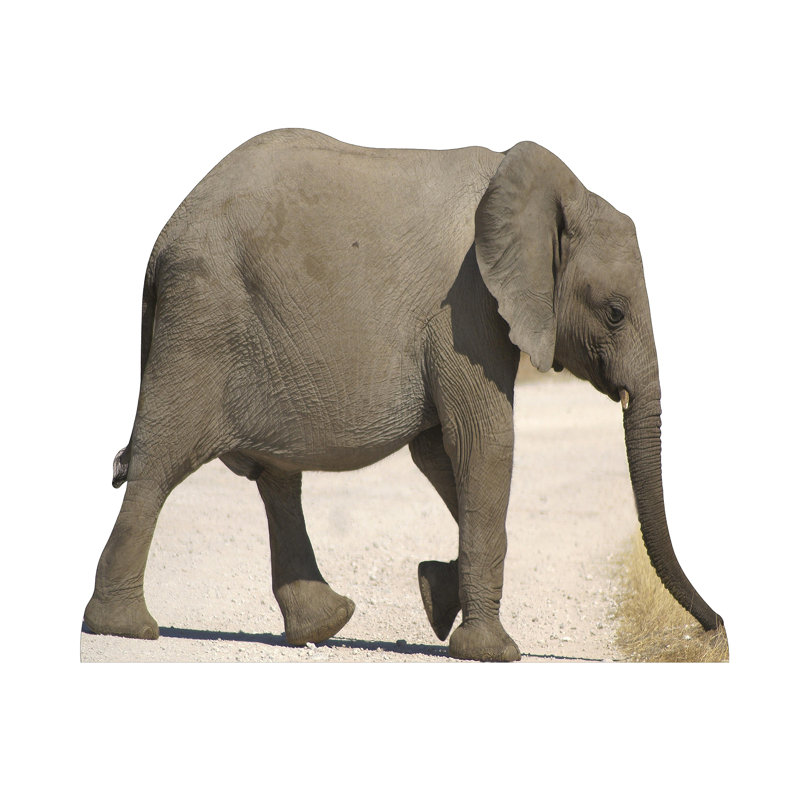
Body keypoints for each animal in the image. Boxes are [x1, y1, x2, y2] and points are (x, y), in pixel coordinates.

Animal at [83, 128, 723, 661]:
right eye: (614, 313)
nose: (715, 631)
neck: (551, 195)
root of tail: (162, 240)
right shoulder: (467, 305)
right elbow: (483, 442)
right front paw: (490, 652)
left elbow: (441, 452)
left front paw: (435, 593)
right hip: (203, 321)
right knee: (161, 461)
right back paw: (126, 628)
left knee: (276, 478)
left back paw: (324, 625)